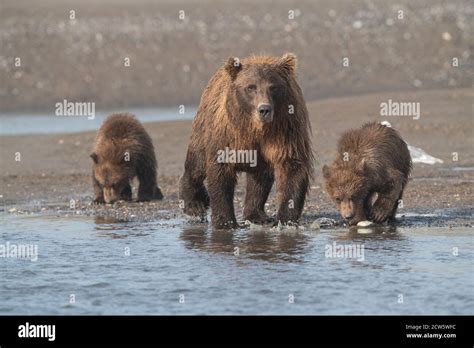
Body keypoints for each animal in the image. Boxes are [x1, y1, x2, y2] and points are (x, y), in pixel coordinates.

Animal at [180, 53, 312, 230]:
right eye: (251, 87)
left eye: (273, 87)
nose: (264, 109)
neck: (255, 129)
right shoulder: (227, 134)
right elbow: (220, 171)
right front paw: (225, 222)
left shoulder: (286, 130)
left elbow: (293, 166)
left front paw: (285, 220)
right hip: (203, 126)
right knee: (197, 163)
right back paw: (194, 204)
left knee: (259, 179)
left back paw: (257, 216)